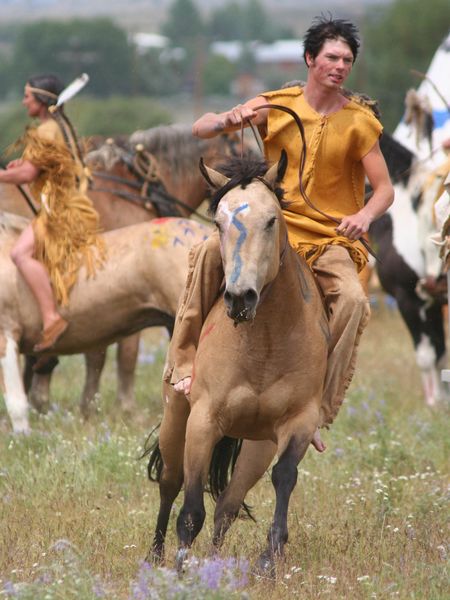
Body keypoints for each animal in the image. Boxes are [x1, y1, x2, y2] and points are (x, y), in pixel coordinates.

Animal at [148, 154, 330, 572]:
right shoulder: (203, 420)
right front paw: (180, 571)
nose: (240, 297)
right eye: (217, 222)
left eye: (272, 220)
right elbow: (190, 511)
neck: (264, 342)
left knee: (228, 506)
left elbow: (283, 477)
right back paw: (156, 555)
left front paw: (271, 557)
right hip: (176, 417)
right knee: (170, 483)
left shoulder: (298, 422)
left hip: (257, 445)